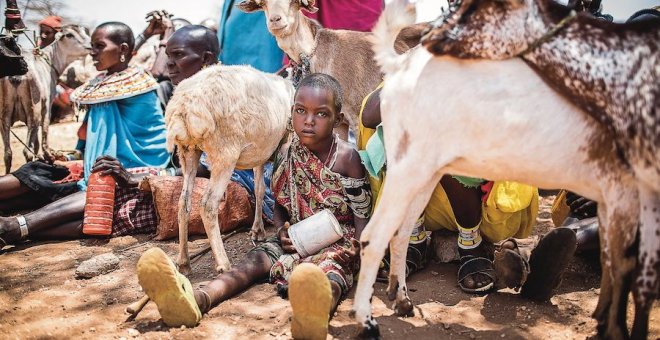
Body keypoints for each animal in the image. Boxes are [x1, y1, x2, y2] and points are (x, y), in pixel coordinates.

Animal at [165, 63, 294, 274]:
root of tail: (184, 107)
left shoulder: (259, 152)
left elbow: (259, 189)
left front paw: (257, 230)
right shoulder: (285, 140)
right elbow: (275, 185)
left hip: (187, 151)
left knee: (183, 202)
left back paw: (183, 262)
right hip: (224, 152)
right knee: (208, 204)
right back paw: (223, 263)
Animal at [350, 1, 656, 338]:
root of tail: (402, 66)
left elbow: (617, 263)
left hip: (426, 172)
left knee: (401, 232)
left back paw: (403, 300)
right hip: (410, 166)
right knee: (374, 235)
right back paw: (366, 322)